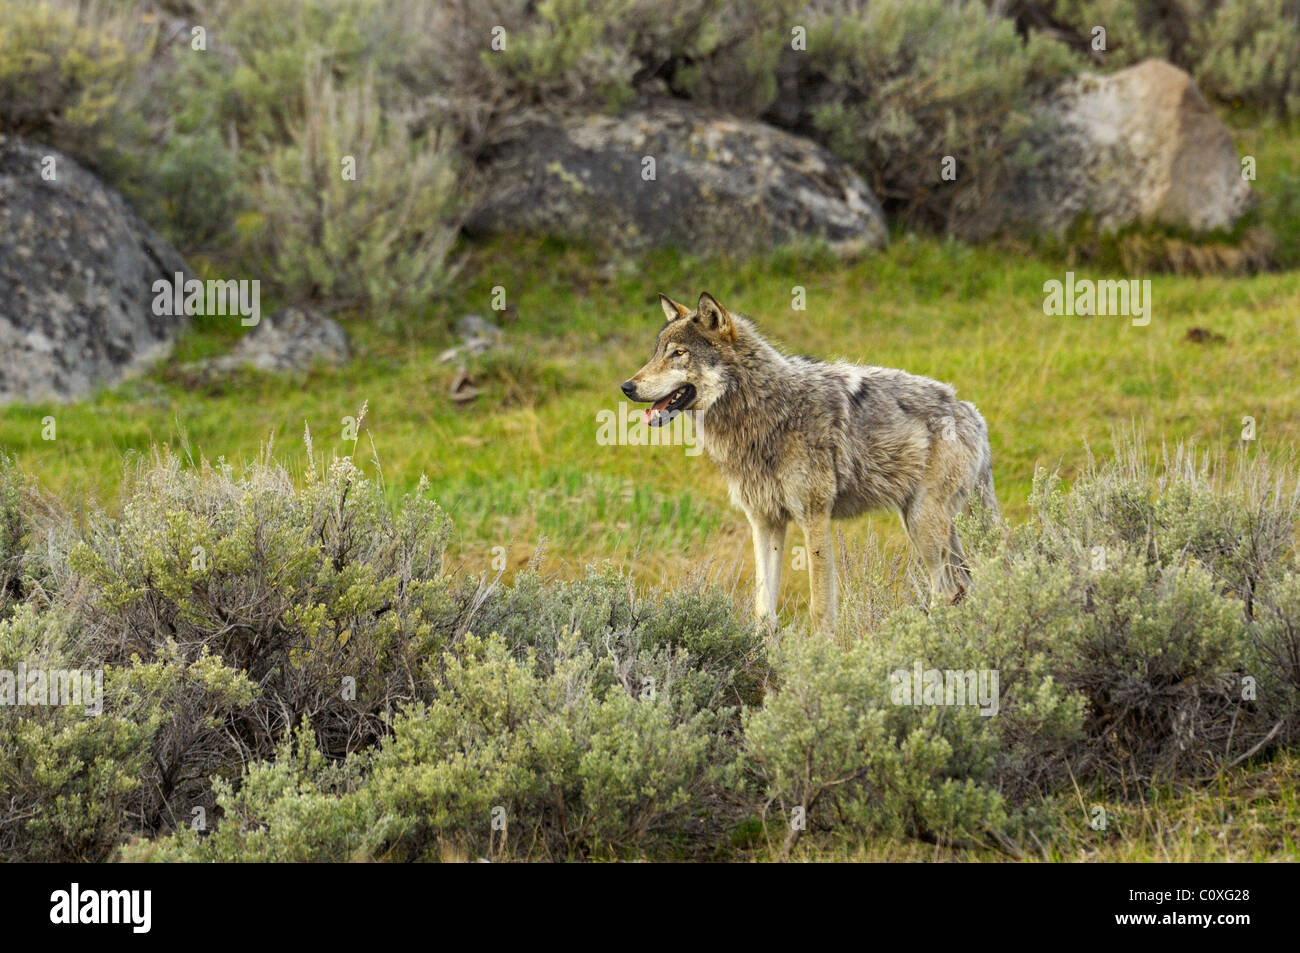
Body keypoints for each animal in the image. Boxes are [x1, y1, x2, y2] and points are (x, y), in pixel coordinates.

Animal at [618, 291, 993, 631]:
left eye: (679, 353)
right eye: (657, 353)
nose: (627, 386)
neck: (768, 412)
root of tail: (971, 411)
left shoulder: (815, 517)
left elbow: (820, 608)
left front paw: (823, 654)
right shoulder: (764, 521)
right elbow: (764, 611)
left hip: (923, 526)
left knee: (948, 590)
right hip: (927, 525)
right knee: (965, 585)